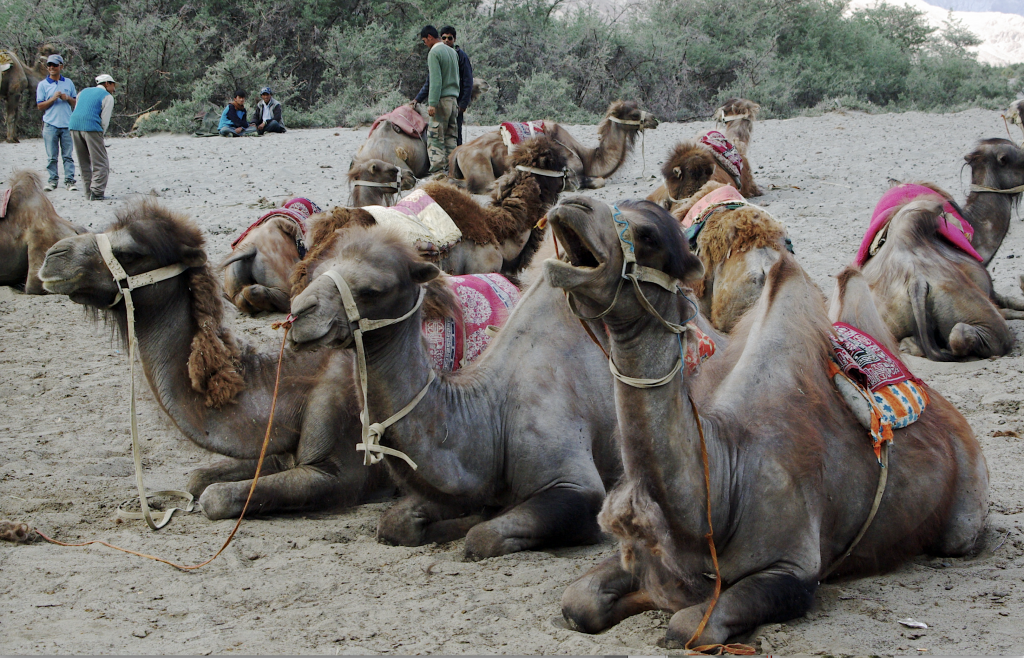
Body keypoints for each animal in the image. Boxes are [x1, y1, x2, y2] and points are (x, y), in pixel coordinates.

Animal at [548, 196, 987, 646]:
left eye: (649, 235)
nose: (572, 204)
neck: (722, 487)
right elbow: (578, 600)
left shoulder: (792, 569)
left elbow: (687, 627)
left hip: (965, 507)